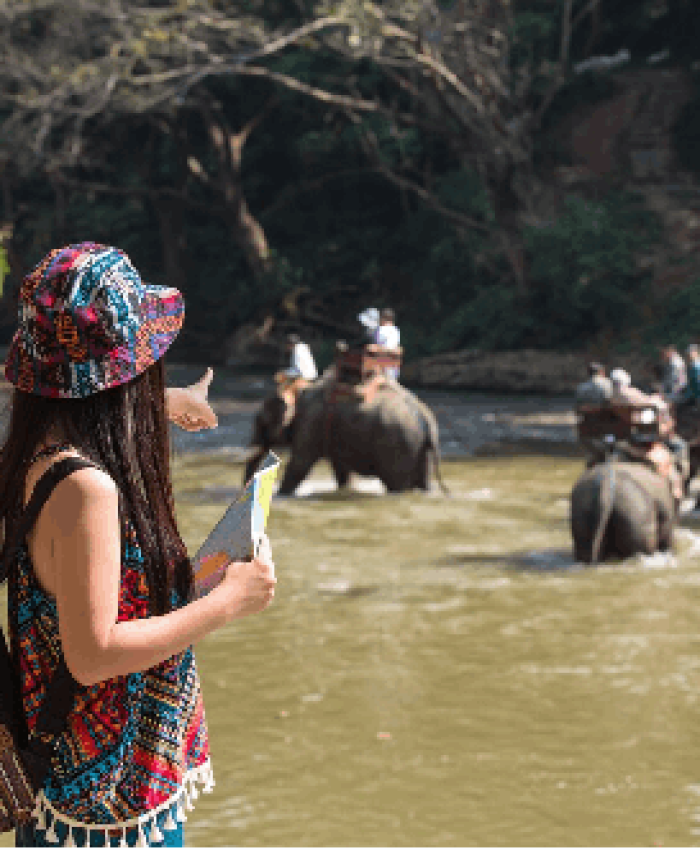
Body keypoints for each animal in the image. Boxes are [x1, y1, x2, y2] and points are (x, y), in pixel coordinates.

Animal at [245, 374, 449, 495]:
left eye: (261, 422)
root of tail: (427, 418)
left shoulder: (310, 421)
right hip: (419, 447)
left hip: (399, 444)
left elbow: (299, 464)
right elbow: (341, 470)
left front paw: (280, 496)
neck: (299, 389)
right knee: (423, 481)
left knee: (396, 484)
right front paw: (344, 490)